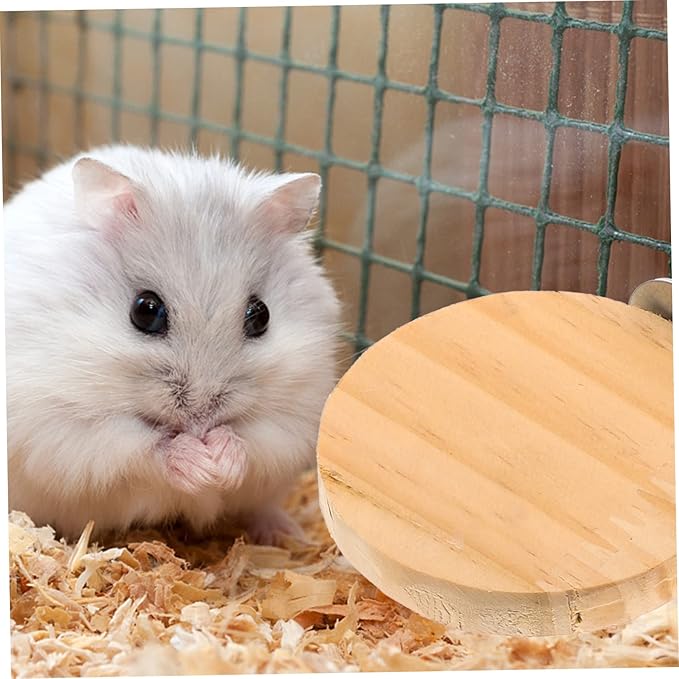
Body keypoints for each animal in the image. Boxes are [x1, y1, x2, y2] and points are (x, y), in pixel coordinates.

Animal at [4, 144, 341, 544]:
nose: (201, 419)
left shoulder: (295, 415)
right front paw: (200, 465)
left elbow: (254, 440)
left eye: (261, 316)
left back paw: (285, 535)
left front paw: (221, 463)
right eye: (145, 311)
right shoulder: (63, 427)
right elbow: (142, 448)